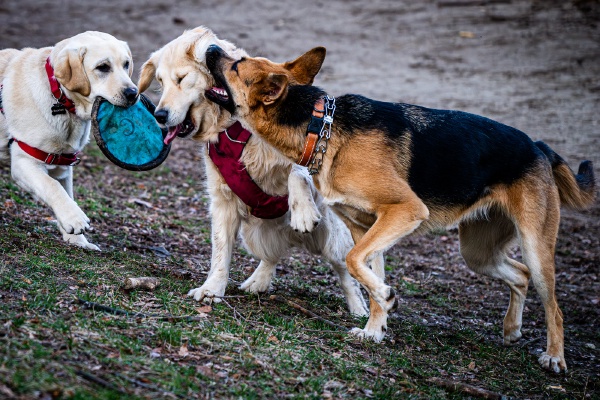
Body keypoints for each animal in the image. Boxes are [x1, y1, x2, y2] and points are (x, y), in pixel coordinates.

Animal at [0, 32, 138, 250]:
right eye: (103, 67)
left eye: (126, 64)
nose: (133, 93)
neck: (59, 97)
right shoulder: (25, 161)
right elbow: (53, 187)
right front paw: (76, 219)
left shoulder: (61, 164)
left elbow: (66, 193)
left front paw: (77, 239)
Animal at [138, 27, 368, 316]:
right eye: (160, 81)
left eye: (181, 79)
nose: (159, 115)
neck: (232, 127)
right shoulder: (222, 201)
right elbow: (220, 251)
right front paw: (212, 289)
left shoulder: (310, 149)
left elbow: (297, 171)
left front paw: (303, 210)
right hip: (254, 235)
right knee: (272, 256)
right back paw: (258, 281)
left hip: (333, 238)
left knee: (346, 270)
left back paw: (359, 308)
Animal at [203, 43, 596, 372]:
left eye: (236, 64)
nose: (210, 48)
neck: (322, 128)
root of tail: (539, 146)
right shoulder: (367, 228)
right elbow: (365, 269)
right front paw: (375, 329)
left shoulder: (405, 211)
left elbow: (354, 263)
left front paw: (385, 299)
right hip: (478, 252)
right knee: (520, 275)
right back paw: (512, 329)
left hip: (534, 245)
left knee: (553, 305)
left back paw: (555, 357)